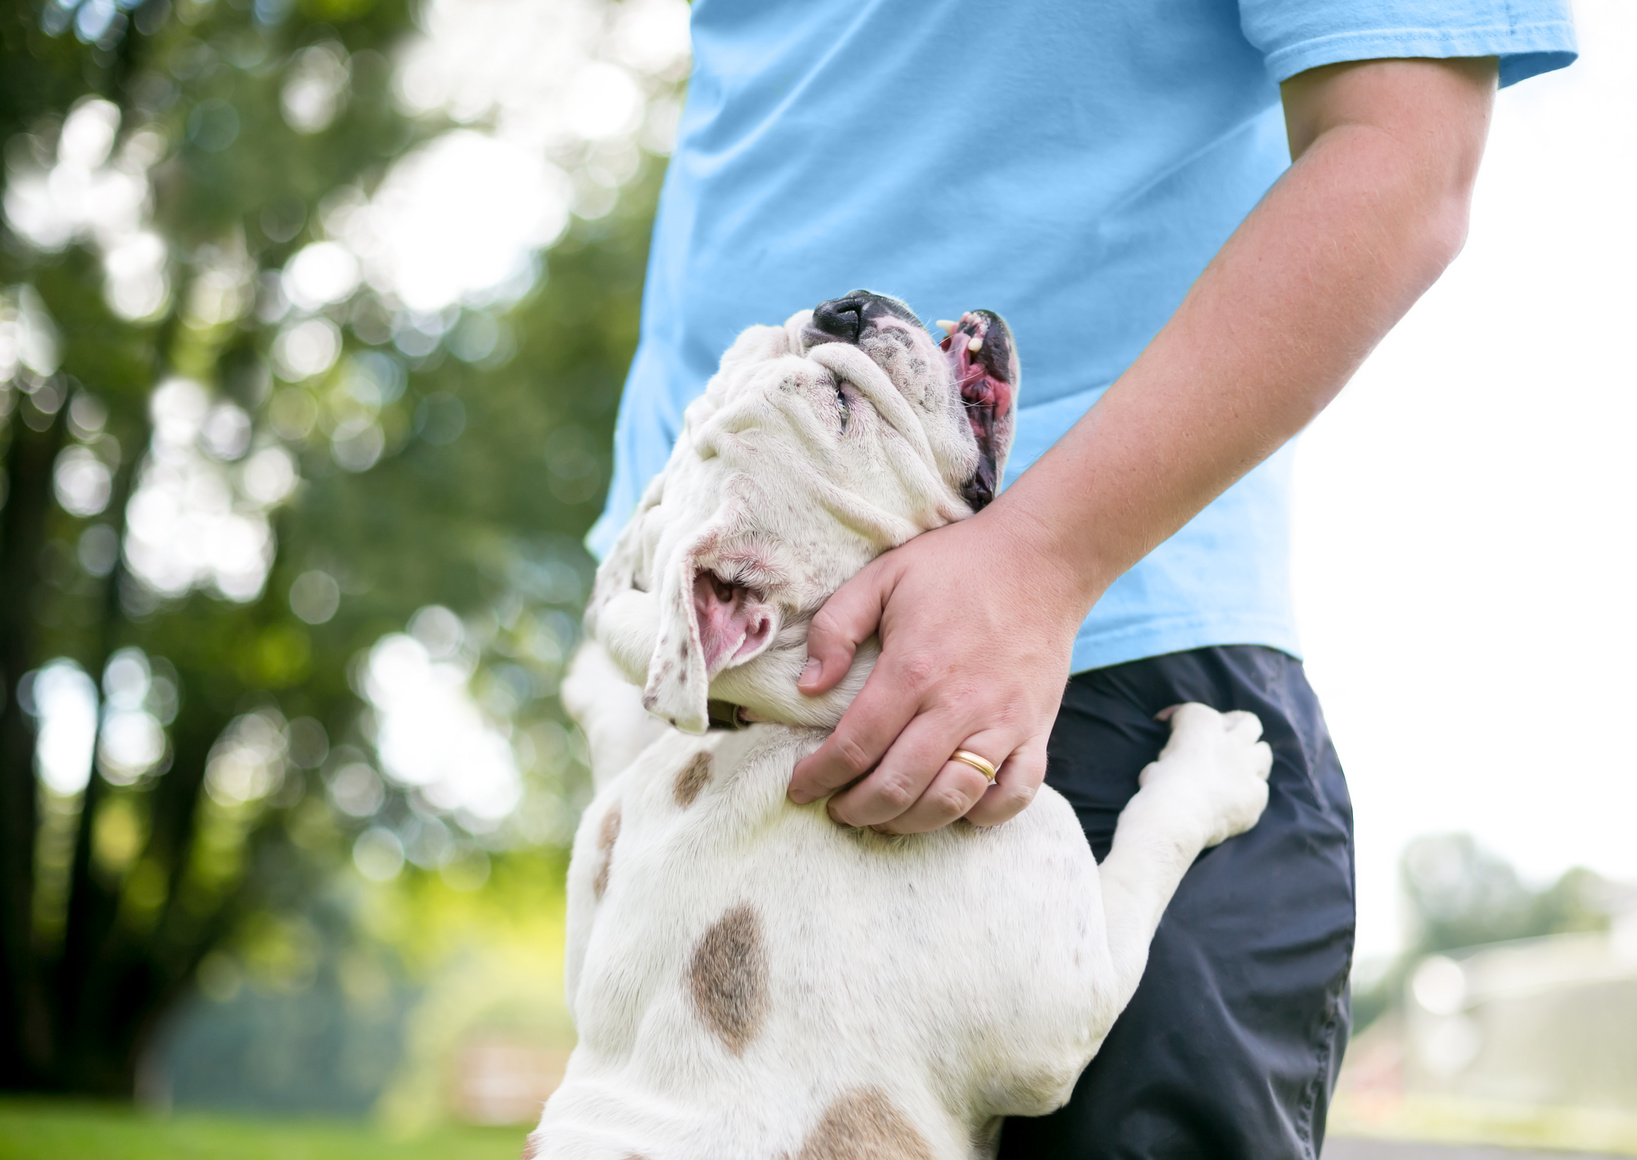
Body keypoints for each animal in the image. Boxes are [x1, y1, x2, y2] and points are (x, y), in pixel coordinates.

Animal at [530, 294, 1270, 1151]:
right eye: (841, 406)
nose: (843, 308)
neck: (774, 717)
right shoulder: (1069, 1005)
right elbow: (1152, 845)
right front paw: (1212, 769)